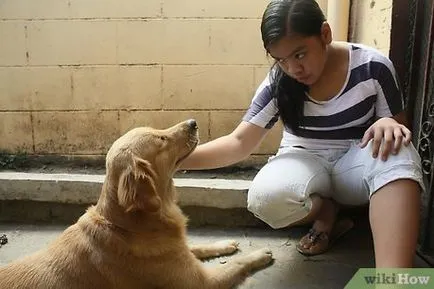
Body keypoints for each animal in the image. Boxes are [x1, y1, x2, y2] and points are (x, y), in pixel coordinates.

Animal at [0, 118, 272, 286]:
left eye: (159, 131)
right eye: (161, 140)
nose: (193, 122)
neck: (128, 226)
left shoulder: (177, 251)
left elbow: (195, 246)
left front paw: (223, 243)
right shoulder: (199, 281)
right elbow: (237, 263)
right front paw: (259, 253)